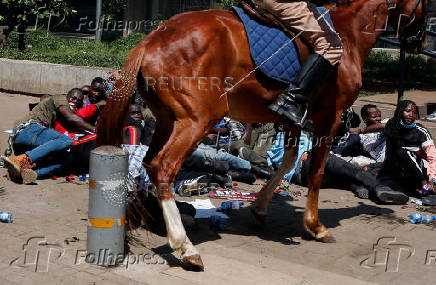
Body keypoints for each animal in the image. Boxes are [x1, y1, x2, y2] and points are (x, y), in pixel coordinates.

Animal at [97, 0, 428, 270]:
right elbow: (316, 171)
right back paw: (185, 247)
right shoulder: (329, 120)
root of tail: (152, 38)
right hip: (197, 119)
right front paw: (315, 225)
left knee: (148, 163)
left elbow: (289, 159)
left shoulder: (293, 119)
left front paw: (260, 207)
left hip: (168, 119)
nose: (420, 41)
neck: (348, 35)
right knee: (163, 166)